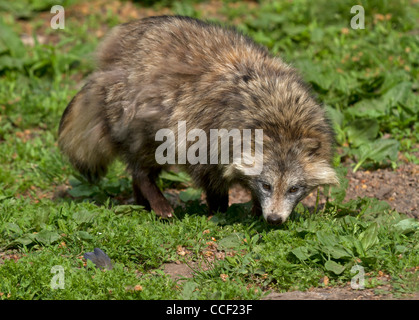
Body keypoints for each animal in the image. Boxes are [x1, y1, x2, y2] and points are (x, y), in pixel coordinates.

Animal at [58, 15, 342, 225]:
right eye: (266, 185)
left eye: (294, 189)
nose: (273, 219)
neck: (279, 121)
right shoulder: (208, 136)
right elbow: (211, 178)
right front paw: (220, 212)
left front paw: (253, 207)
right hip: (138, 115)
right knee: (143, 163)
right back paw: (151, 193)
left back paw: (141, 200)